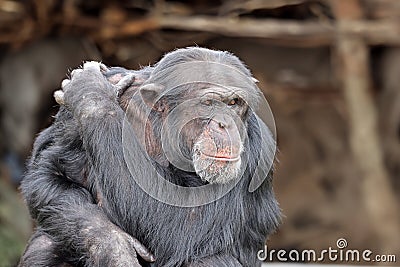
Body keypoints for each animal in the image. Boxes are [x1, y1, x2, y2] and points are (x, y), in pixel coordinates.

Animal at [18, 47, 282, 266]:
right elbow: (49, 172)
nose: (226, 123)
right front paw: (112, 244)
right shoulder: (71, 119)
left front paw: (89, 89)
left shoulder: (257, 153)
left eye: (234, 102)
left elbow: (182, 227)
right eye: (208, 102)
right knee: (45, 244)